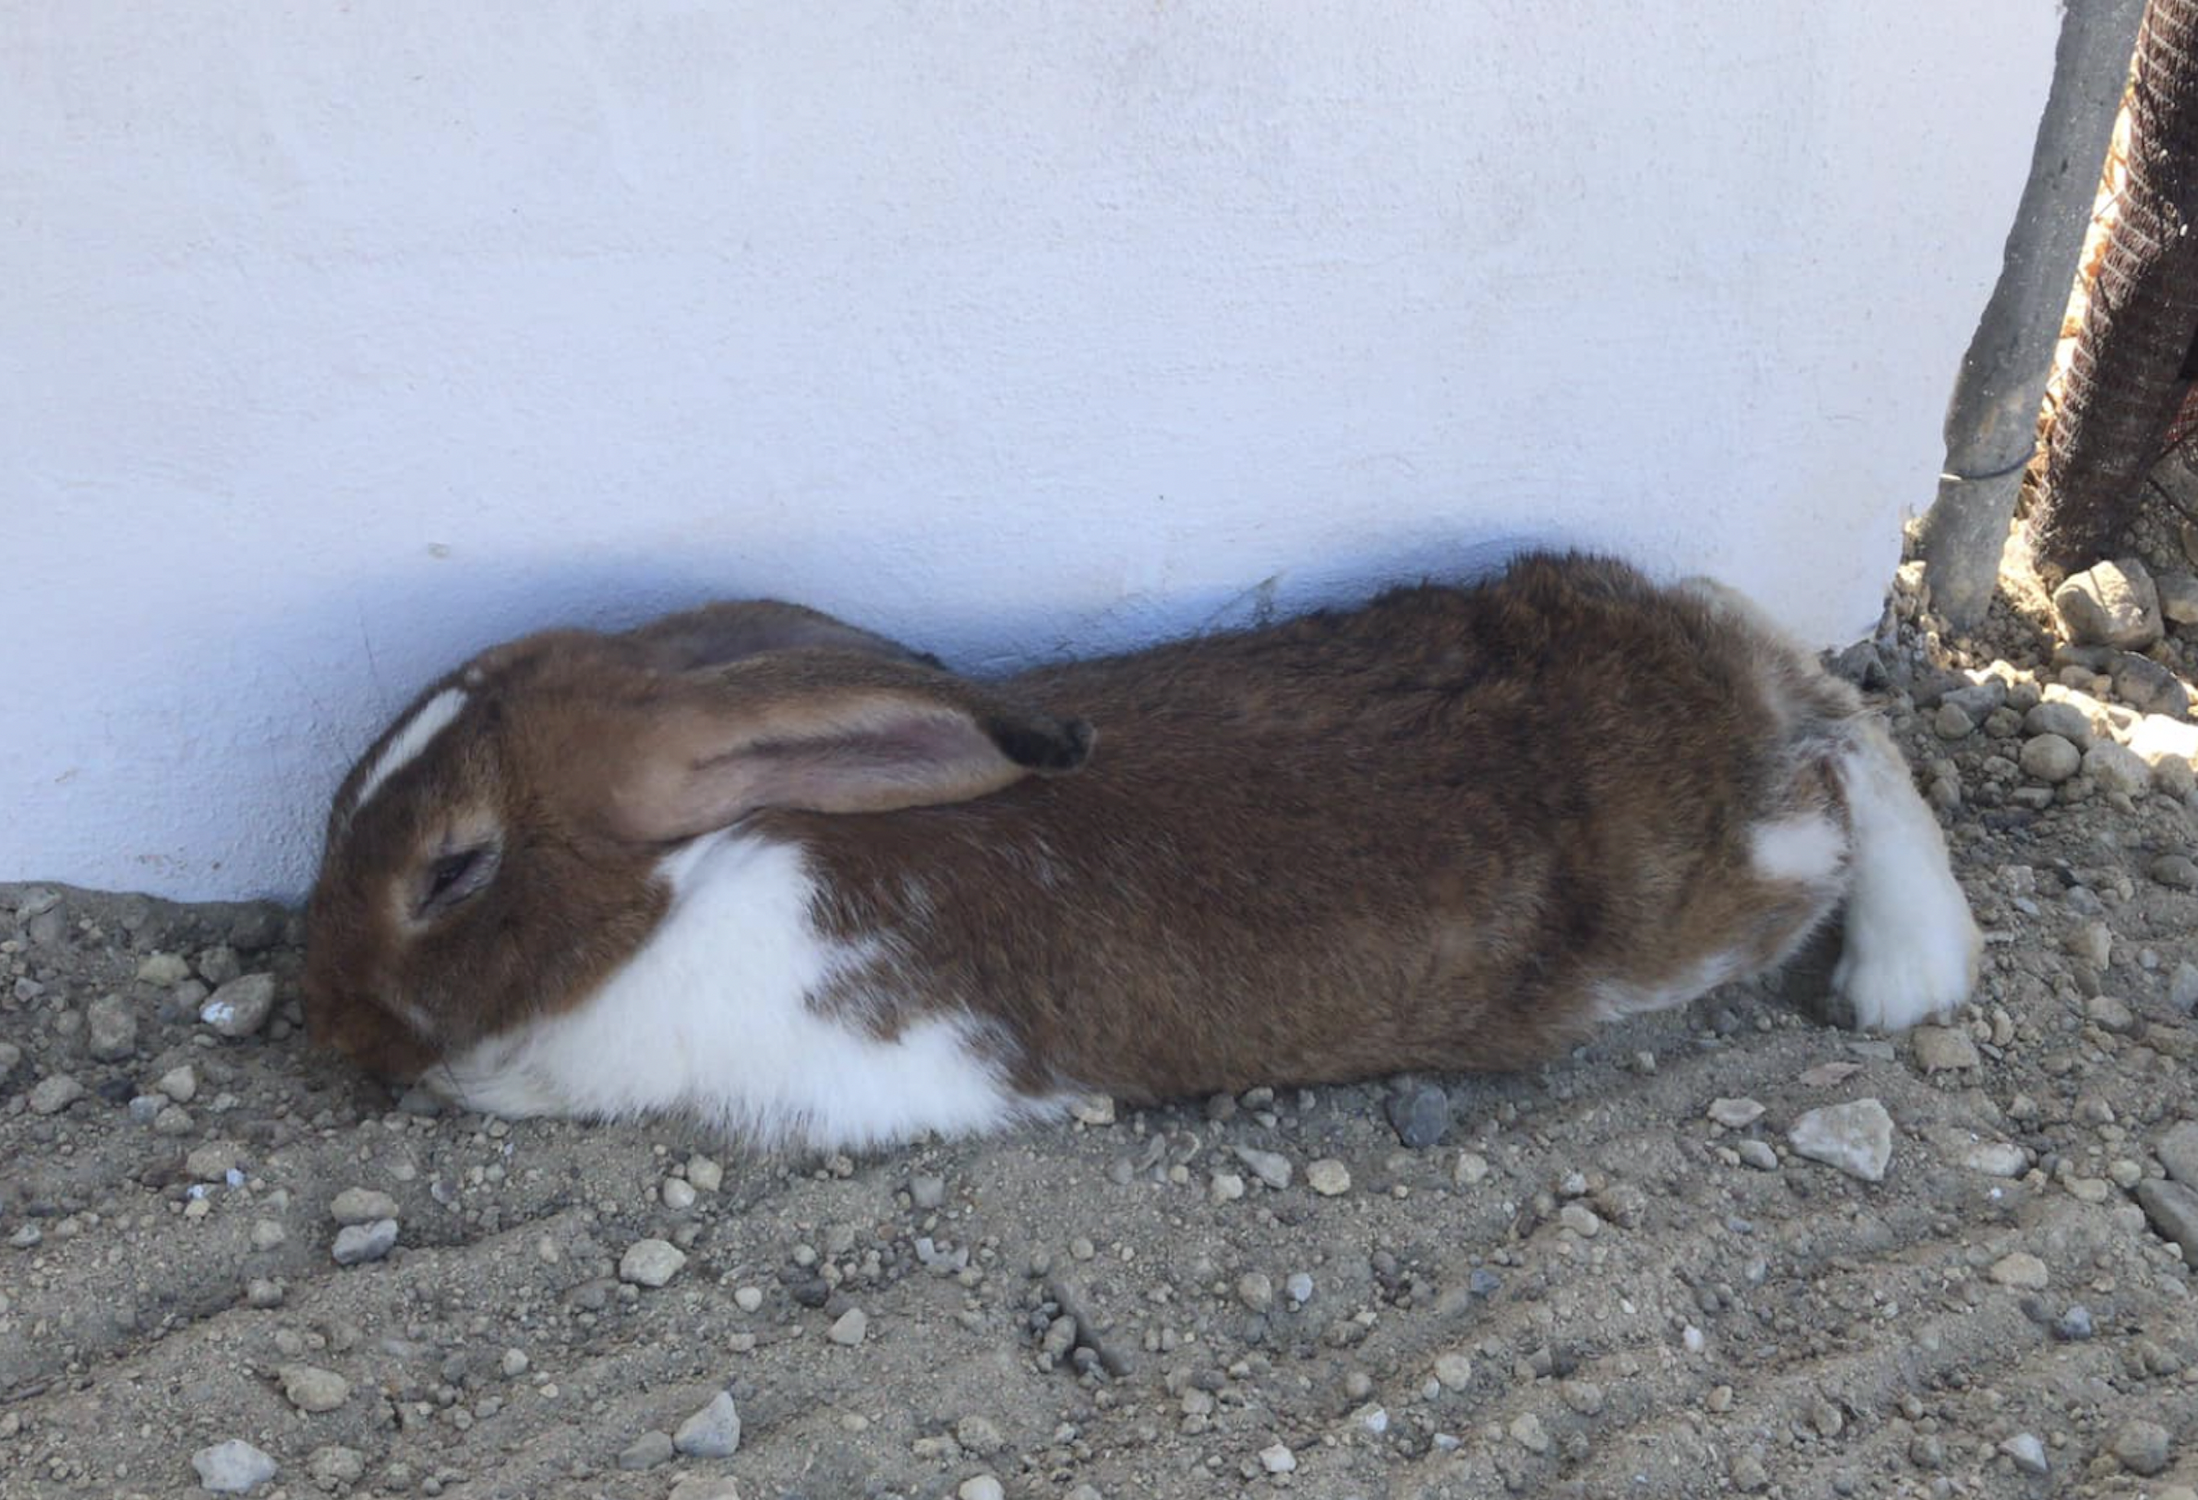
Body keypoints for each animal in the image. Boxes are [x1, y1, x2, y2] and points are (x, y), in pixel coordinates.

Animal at [303, 552, 1980, 1148]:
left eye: (450, 871)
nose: (328, 1012)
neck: (678, 888)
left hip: (1730, 889)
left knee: (1845, 748)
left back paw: (1907, 972)